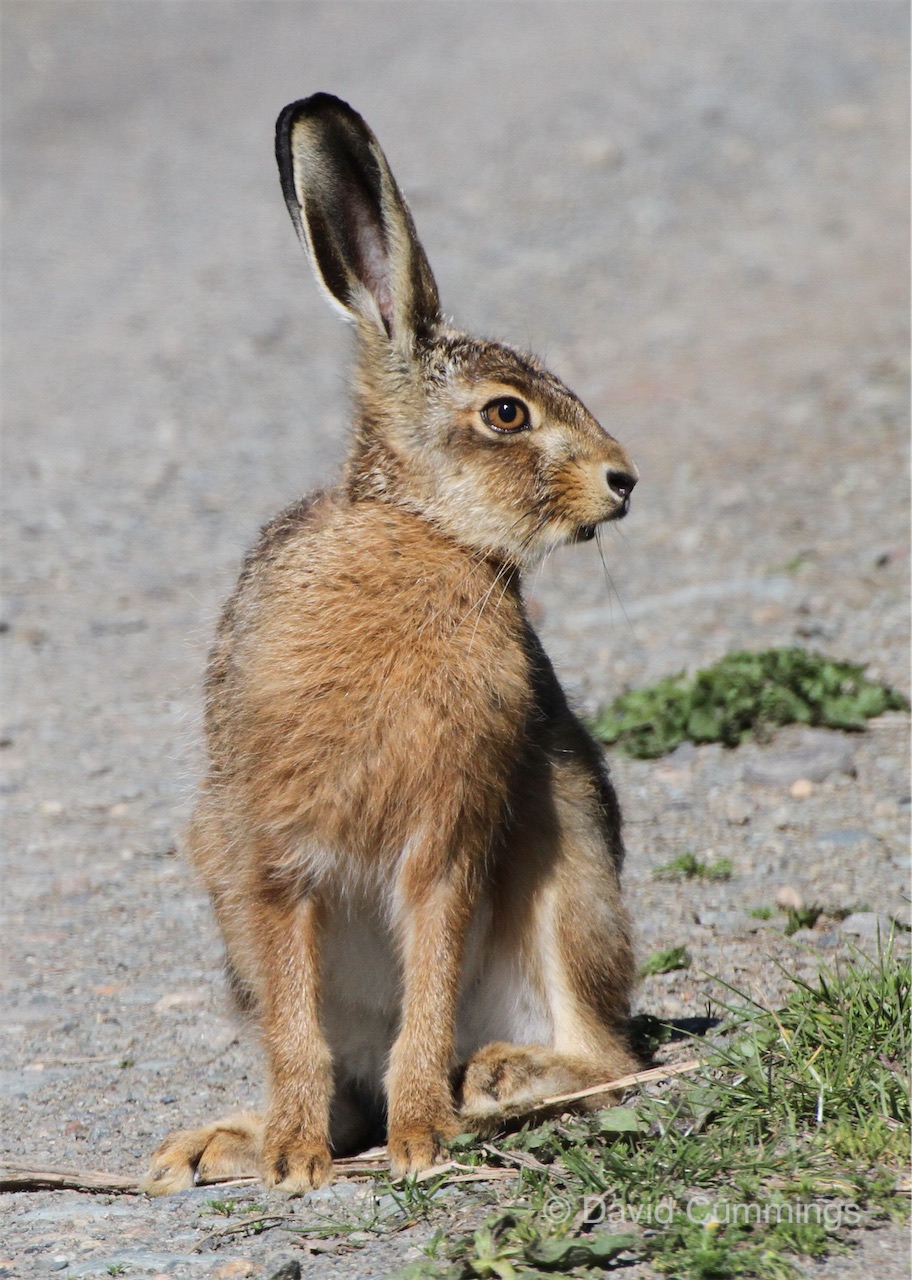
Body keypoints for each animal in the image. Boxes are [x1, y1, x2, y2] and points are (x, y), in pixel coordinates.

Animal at [143, 92, 640, 1197]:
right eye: (507, 413)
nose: (624, 480)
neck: (423, 531)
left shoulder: (448, 836)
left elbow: (431, 988)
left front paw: (421, 1139)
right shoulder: (266, 857)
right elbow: (295, 1028)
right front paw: (293, 1159)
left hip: (572, 868)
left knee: (610, 1056)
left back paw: (500, 1078)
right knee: (337, 1071)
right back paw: (226, 1141)